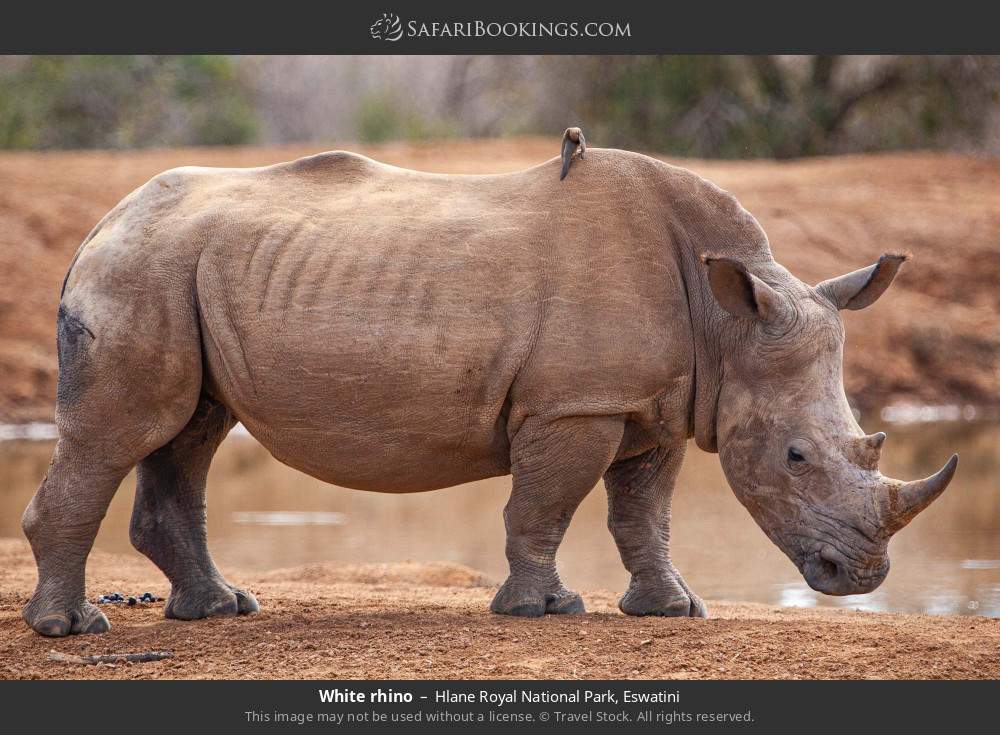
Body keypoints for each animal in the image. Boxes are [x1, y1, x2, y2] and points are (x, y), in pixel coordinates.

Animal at [21, 136, 958, 637]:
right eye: (796, 456)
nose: (861, 575)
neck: (728, 323)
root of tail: (99, 226)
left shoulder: (650, 404)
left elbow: (642, 514)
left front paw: (670, 610)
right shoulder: (573, 404)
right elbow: (544, 505)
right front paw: (547, 609)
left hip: (175, 270)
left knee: (191, 431)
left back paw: (220, 610)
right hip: (140, 270)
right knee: (124, 433)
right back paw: (74, 629)